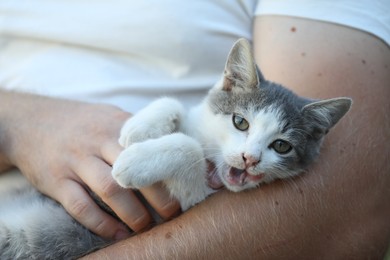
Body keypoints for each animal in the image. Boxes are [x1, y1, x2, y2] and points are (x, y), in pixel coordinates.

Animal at [0, 37, 352, 258]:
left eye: (281, 146)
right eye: (240, 122)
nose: (249, 158)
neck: (211, 152)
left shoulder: (184, 204)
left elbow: (187, 150)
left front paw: (133, 163)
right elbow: (176, 107)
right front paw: (138, 128)